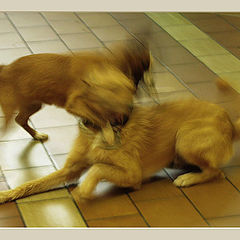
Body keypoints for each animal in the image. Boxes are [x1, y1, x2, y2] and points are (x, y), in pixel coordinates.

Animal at [0, 40, 153, 144]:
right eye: (146, 64)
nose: (151, 83)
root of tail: (5, 68)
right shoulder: (75, 104)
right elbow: (102, 120)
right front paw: (108, 134)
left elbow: (99, 118)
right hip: (13, 111)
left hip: (33, 105)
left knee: (20, 119)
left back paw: (37, 135)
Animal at [0, 79, 240, 203]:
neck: (98, 132)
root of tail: (229, 121)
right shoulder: (70, 169)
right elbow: (31, 184)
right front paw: (7, 194)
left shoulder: (133, 174)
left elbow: (97, 167)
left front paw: (84, 190)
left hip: (185, 137)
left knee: (216, 172)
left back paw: (189, 178)